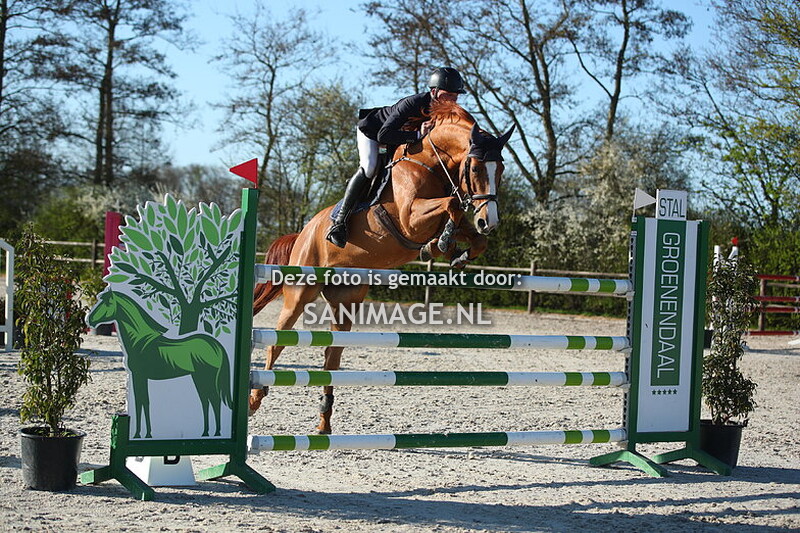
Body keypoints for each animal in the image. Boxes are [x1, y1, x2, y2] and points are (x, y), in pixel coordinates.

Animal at [88, 290, 233, 438]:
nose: (90, 320)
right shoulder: (140, 377)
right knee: (206, 401)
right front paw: (146, 433)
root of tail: (216, 346)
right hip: (198, 378)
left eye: (107, 303)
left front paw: (140, 434)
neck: (139, 340)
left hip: (206, 377)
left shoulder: (139, 376)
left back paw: (216, 432)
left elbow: (141, 402)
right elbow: (144, 402)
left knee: (214, 401)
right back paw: (206, 432)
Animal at [250, 99, 513, 434]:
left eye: (501, 170)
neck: (429, 162)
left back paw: (324, 422)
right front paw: (441, 244)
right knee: (276, 344)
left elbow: (472, 236)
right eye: (476, 167)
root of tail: (303, 233)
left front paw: (454, 251)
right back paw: (255, 399)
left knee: (331, 356)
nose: (488, 221)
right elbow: (451, 206)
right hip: (299, 293)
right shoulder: (410, 219)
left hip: (346, 301)